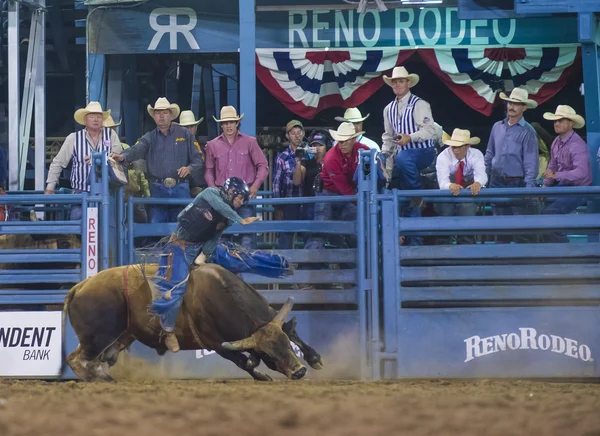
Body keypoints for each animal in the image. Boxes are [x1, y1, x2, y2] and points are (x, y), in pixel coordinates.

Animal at [64, 262, 324, 382]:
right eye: (267, 355)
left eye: (286, 346)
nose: (299, 371)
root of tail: (80, 286)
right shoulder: (215, 343)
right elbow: (243, 361)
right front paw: (262, 376)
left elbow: (291, 331)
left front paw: (314, 359)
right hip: (99, 335)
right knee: (76, 359)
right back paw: (96, 378)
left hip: (116, 337)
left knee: (94, 359)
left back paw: (104, 376)